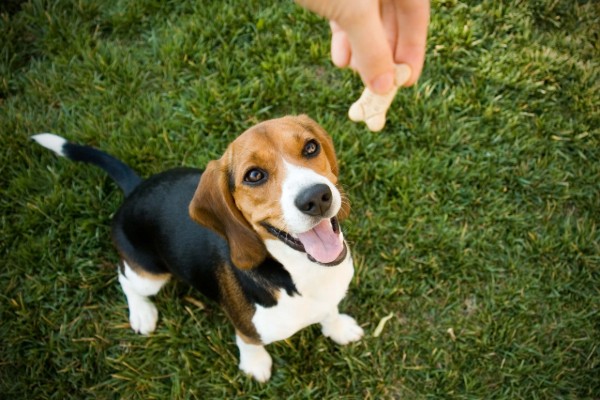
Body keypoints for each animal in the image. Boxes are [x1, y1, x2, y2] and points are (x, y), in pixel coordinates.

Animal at [34, 115, 360, 382]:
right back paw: (142, 312)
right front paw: (255, 365)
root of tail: (135, 190)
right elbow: (248, 342)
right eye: (254, 175)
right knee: (124, 277)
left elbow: (330, 312)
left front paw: (338, 328)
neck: (300, 271)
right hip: (150, 276)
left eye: (310, 148)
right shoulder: (246, 327)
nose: (316, 197)